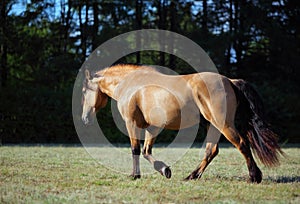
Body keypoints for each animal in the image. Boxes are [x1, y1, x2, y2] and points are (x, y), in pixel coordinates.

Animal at [81, 64, 282, 183]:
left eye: (84, 91)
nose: (84, 119)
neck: (130, 85)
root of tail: (230, 81)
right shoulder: (153, 127)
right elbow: (146, 151)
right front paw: (164, 170)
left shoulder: (132, 123)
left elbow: (135, 149)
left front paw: (135, 175)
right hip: (211, 125)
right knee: (211, 151)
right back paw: (192, 176)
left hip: (223, 124)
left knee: (241, 144)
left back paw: (254, 176)